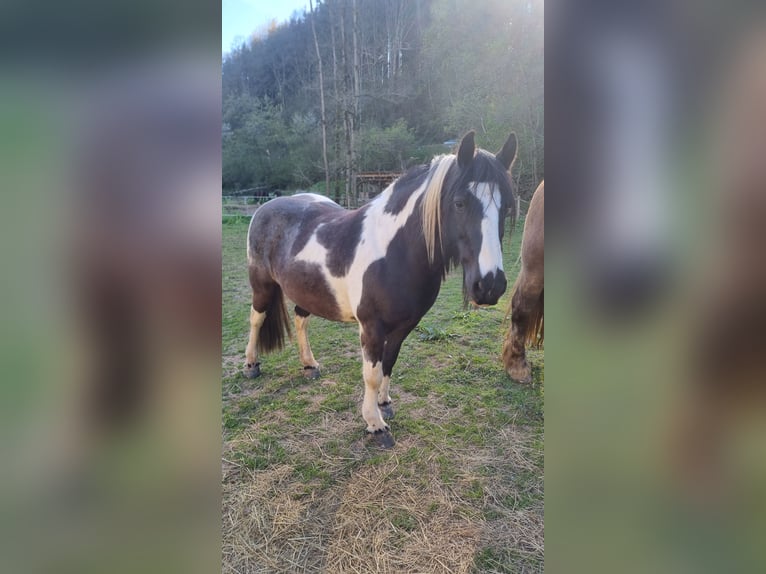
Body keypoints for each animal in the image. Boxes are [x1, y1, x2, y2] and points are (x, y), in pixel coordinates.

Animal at [243, 130, 518, 448]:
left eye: (506, 207)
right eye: (460, 203)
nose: (490, 285)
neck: (393, 252)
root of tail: (266, 207)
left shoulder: (404, 325)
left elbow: (389, 362)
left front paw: (385, 404)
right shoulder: (372, 327)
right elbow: (371, 374)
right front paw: (375, 424)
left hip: (307, 291)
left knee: (301, 319)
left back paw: (310, 365)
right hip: (262, 286)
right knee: (257, 319)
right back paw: (251, 365)